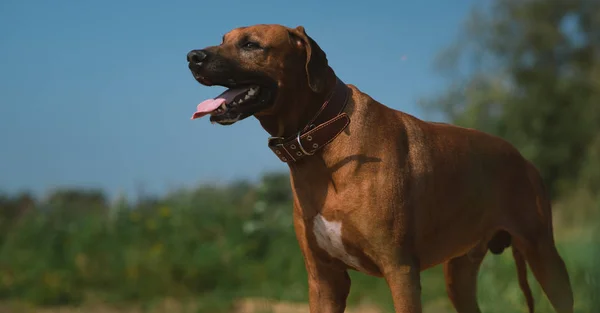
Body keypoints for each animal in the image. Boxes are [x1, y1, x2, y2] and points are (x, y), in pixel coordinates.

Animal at [185, 23, 576, 312]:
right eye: (223, 39)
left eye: (251, 44)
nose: (192, 56)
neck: (324, 135)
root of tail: (522, 157)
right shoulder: (324, 279)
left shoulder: (400, 271)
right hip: (460, 272)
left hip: (545, 256)